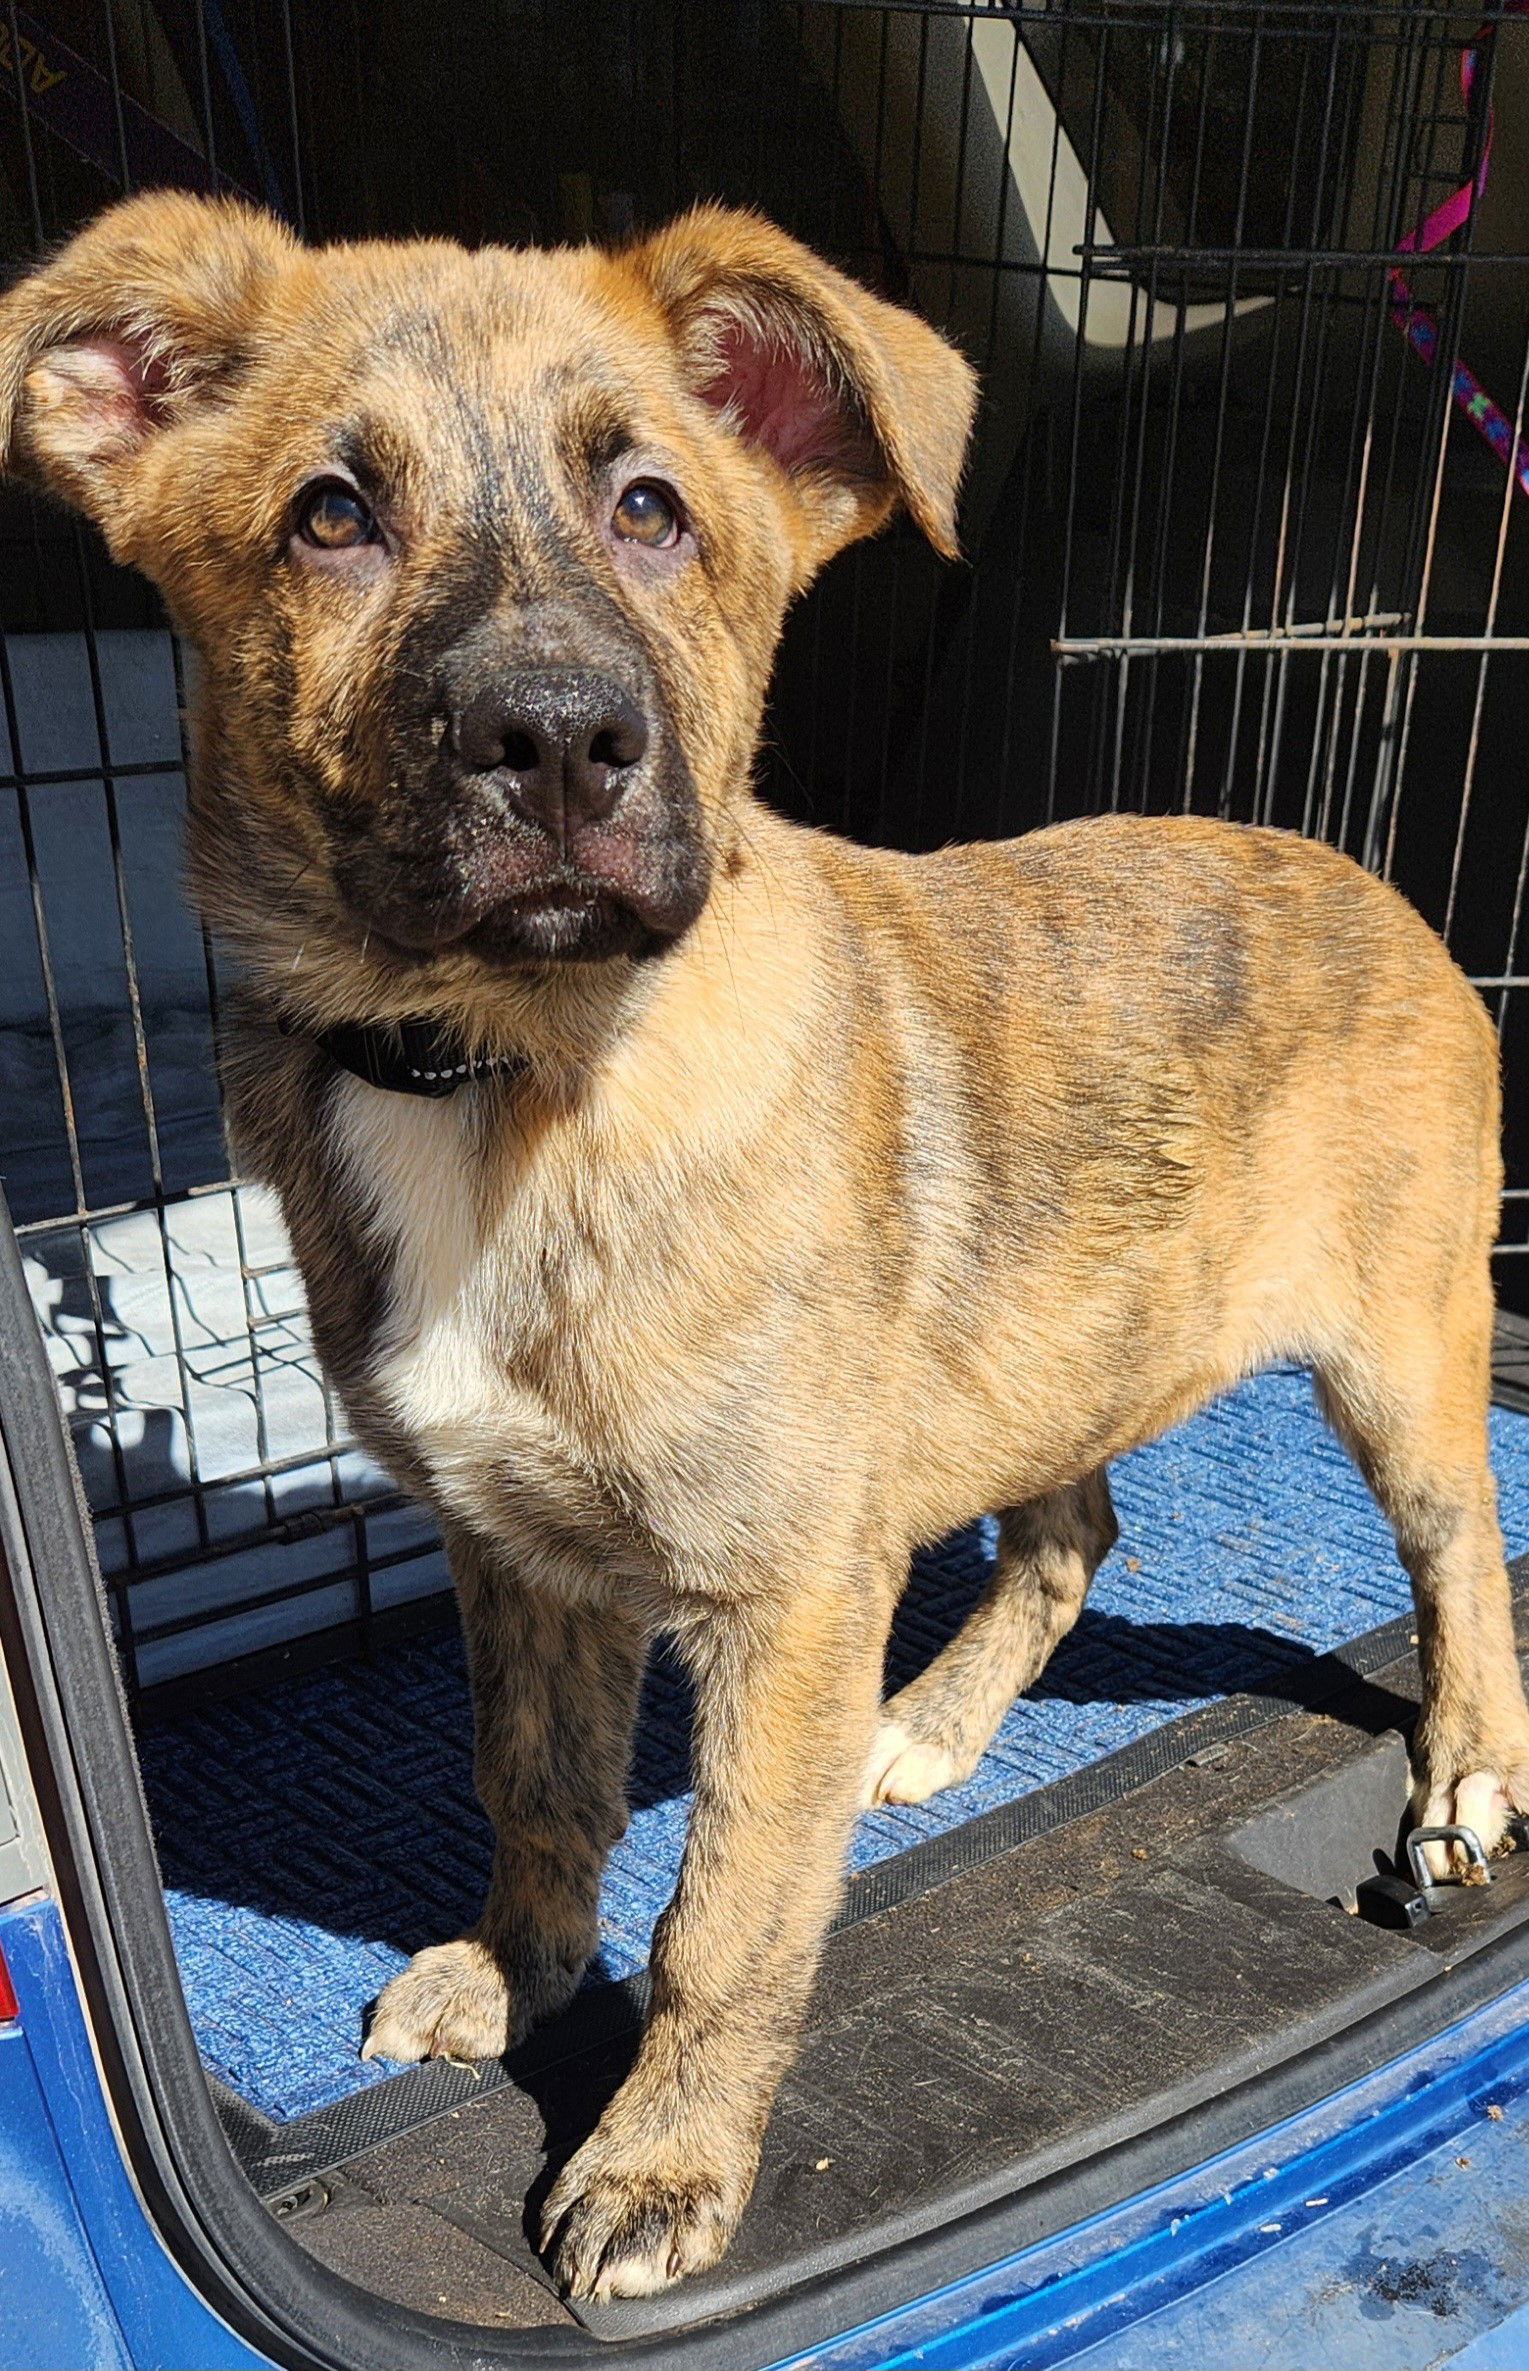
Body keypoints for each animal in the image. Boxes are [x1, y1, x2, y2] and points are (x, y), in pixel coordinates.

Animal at [2, 194, 1526, 2304]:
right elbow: (538, 1784)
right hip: (1048, 1353)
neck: (509, 1061)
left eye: (651, 506)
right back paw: (938, 1729)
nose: (557, 741)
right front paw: (518, 1972)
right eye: (329, 516)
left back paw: (1464, 1770)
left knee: (1465, 1550)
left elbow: (725, 1917)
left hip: (1396, 1338)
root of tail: (1364, 877)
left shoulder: (785, 1588)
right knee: (1072, 1528)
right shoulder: (514, 1545)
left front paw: (657, 2163)